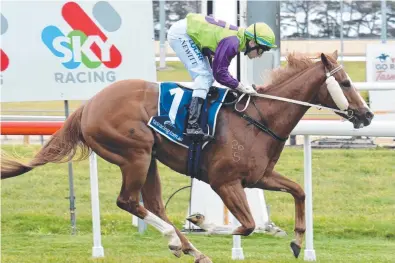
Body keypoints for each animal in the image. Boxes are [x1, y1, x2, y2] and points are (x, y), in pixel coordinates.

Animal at [1, 51, 374, 262]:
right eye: (345, 82)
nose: (368, 114)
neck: (260, 119)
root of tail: (88, 105)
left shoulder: (258, 177)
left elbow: (299, 190)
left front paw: (298, 242)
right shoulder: (225, 181)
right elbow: (247, 225)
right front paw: (202, 222)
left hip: (149, 159)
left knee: (152, 203)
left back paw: (188, 248)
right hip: (134, 152)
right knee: (128, 201)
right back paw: (177, 241)